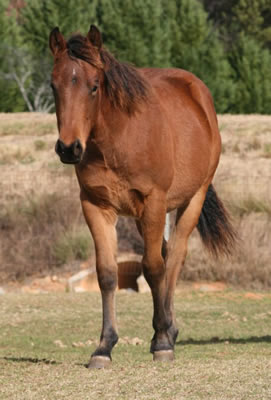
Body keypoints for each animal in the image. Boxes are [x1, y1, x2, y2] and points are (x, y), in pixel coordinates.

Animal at [50, 25, 237, 368]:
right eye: (53, 85)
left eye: (94, 87)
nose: (69, 148)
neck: (118, 139)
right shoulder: (96, 206)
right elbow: (107, 273)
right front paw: (103, 347)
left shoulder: (153, 202)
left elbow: (152, 268)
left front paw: (162, 342)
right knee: (163, 255)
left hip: (191, 200)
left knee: (173, 258)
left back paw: (167, 332)